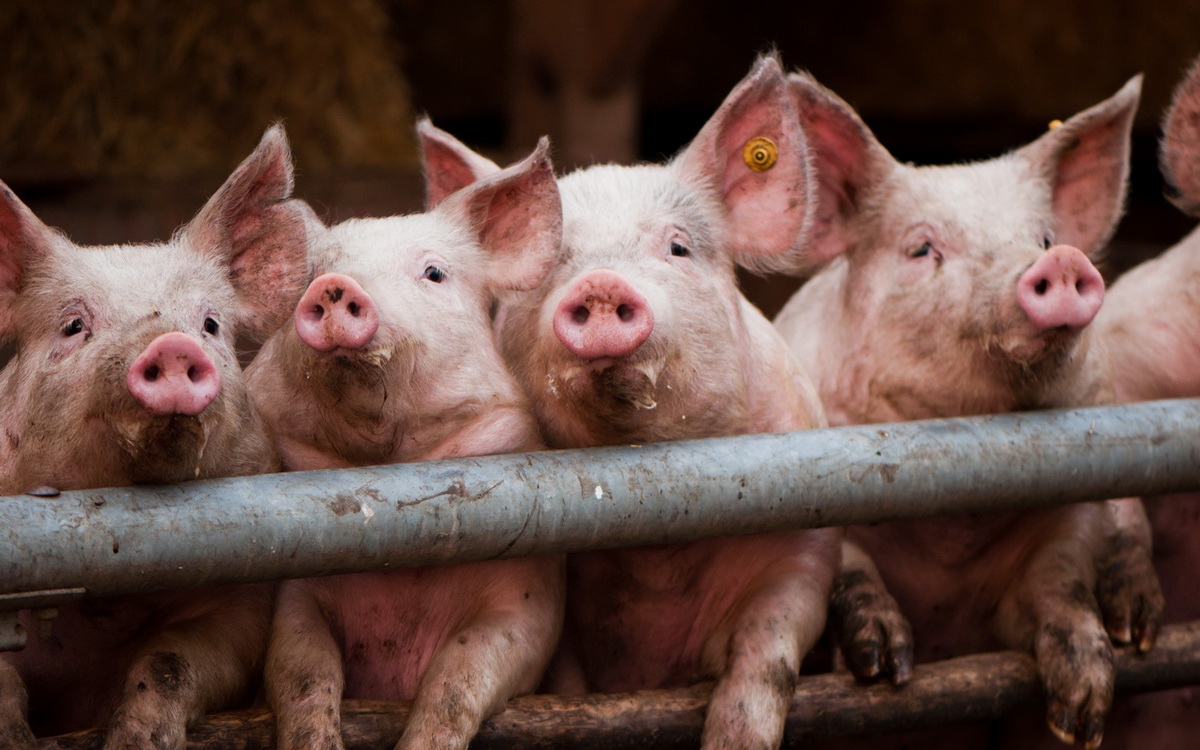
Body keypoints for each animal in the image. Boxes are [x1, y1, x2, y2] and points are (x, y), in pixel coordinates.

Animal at [0, 126, 314, 744]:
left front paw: (135, 741)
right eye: (73, 325)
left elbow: (172, 660)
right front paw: (18, 741)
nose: (171, 344)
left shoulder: (241, 599)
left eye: (210, 324)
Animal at [248, 139, 566, 748]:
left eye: (434, 272)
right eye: (312, 273)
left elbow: (458, 678)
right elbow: (302, 673)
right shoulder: (294, 590)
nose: (335, 286)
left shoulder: (527, 600)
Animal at [768, 71, 1161, 748]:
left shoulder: (1069, 513)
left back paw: (1139, 630)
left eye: (1045, 237)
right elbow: (850, 567)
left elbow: (1061, 587)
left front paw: (1081, 720)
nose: (1060, 262)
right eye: (922, 247)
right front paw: (884, 668)